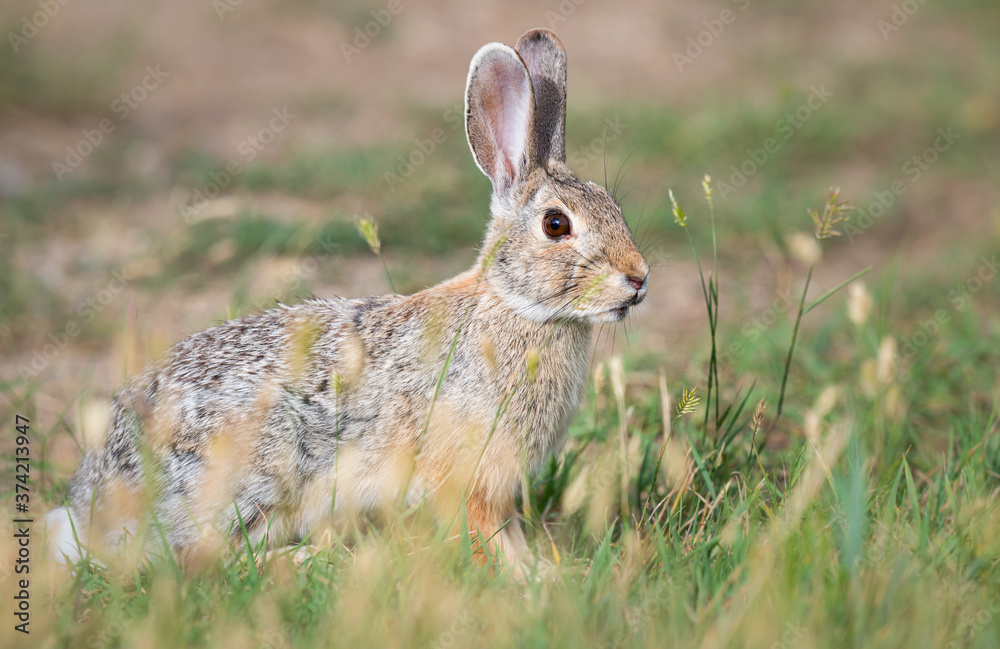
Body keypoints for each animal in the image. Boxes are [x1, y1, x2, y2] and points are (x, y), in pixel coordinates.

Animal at [45, 27, 649, 574]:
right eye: (556, 225)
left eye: (614, 206)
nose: (639, 278)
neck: (514, 305)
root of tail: (97, 503)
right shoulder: (465, 477)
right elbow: (484, 532)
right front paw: (528, 578)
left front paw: (545, 571)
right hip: (258, 470)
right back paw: (310, 557)